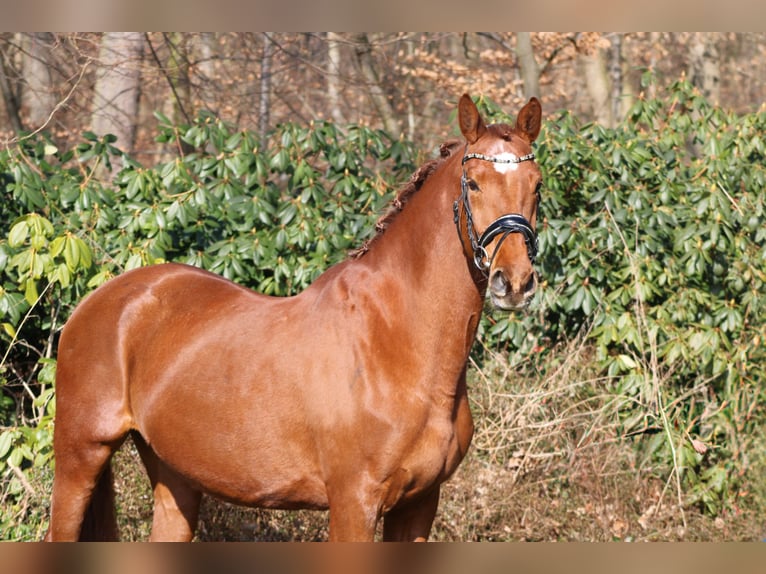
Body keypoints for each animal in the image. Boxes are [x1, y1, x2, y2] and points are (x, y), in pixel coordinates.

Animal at [45, 94, 544, 544]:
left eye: (536, 184)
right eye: (473, 183)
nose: (514, 282)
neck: (395, 342)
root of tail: (101, 301)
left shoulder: (419, 505)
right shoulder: (354, 503)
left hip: (174, 475)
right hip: (80, 456)